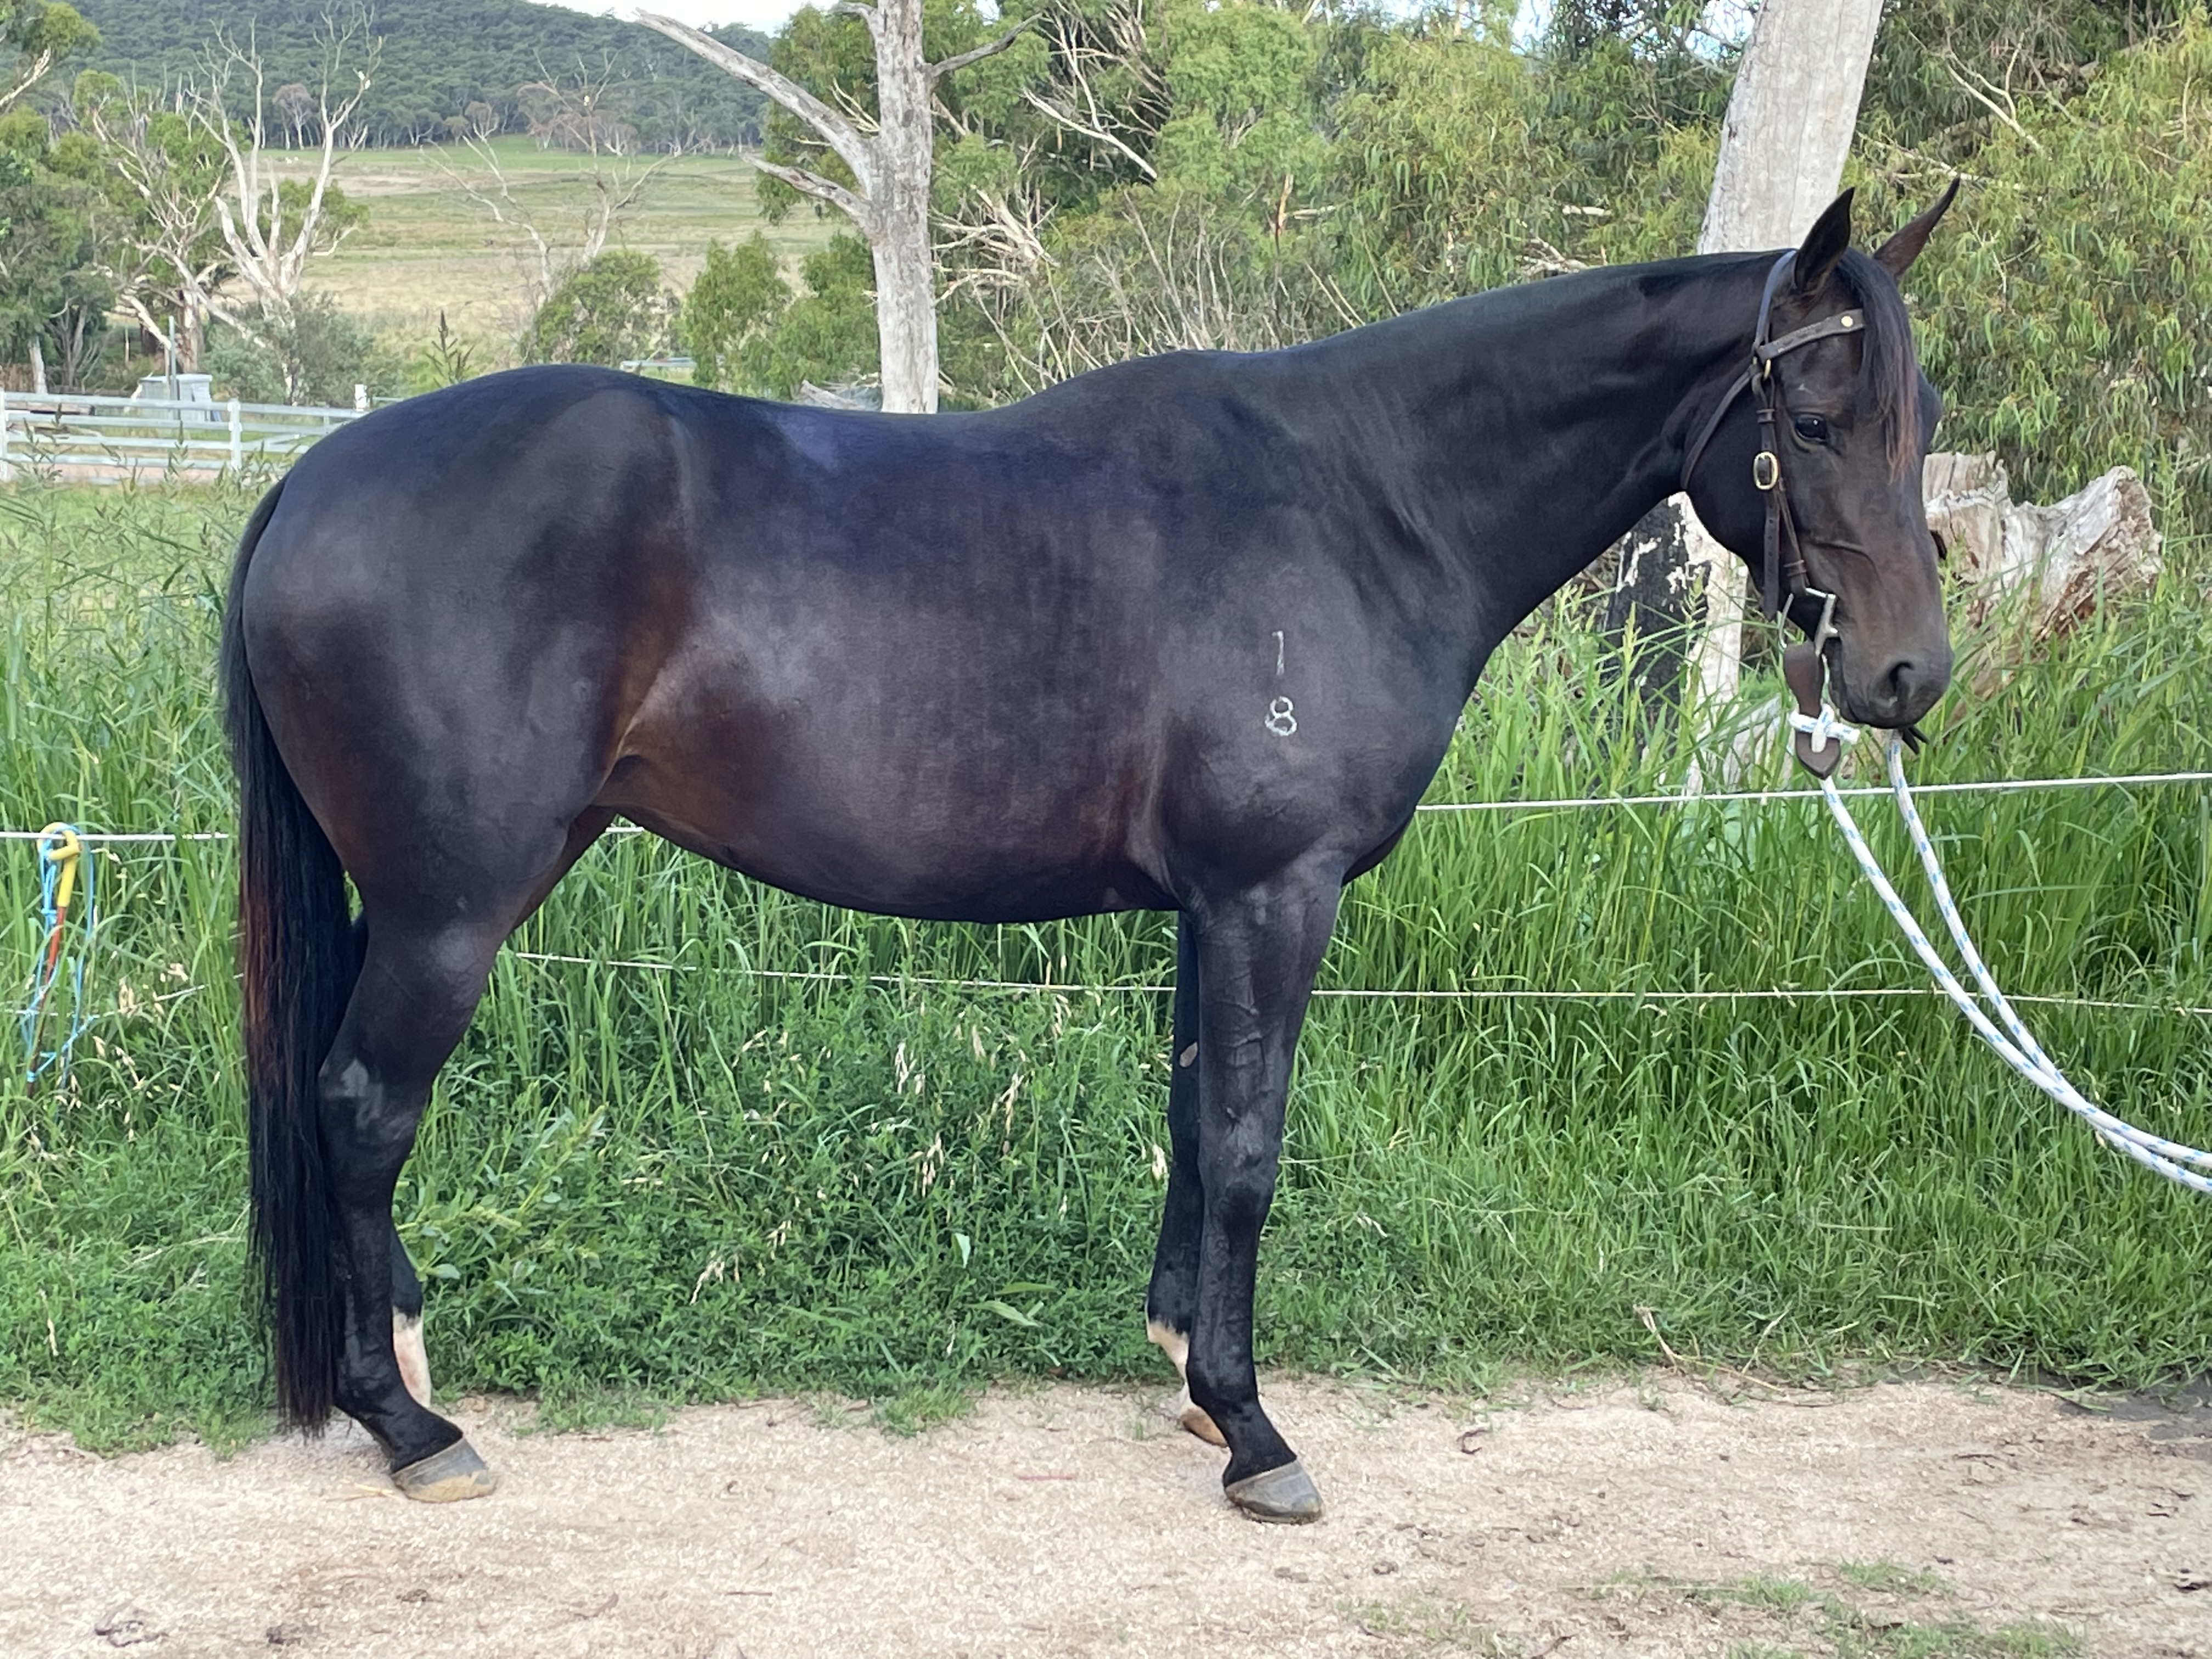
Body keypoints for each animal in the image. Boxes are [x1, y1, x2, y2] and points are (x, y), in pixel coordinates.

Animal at [223, 186, 1956, 1522]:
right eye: (1810, 421)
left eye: (1919, 422)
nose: (1903, 678)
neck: (1361, 503)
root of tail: (309, 478)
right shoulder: (1273, 896)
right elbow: (1250, 1147)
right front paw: (1254, 1430)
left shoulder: (1213, 907)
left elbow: (1194, 1124)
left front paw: (1188, 1372)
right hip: (451, 910)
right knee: (364, 1108)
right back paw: (410, 1427)